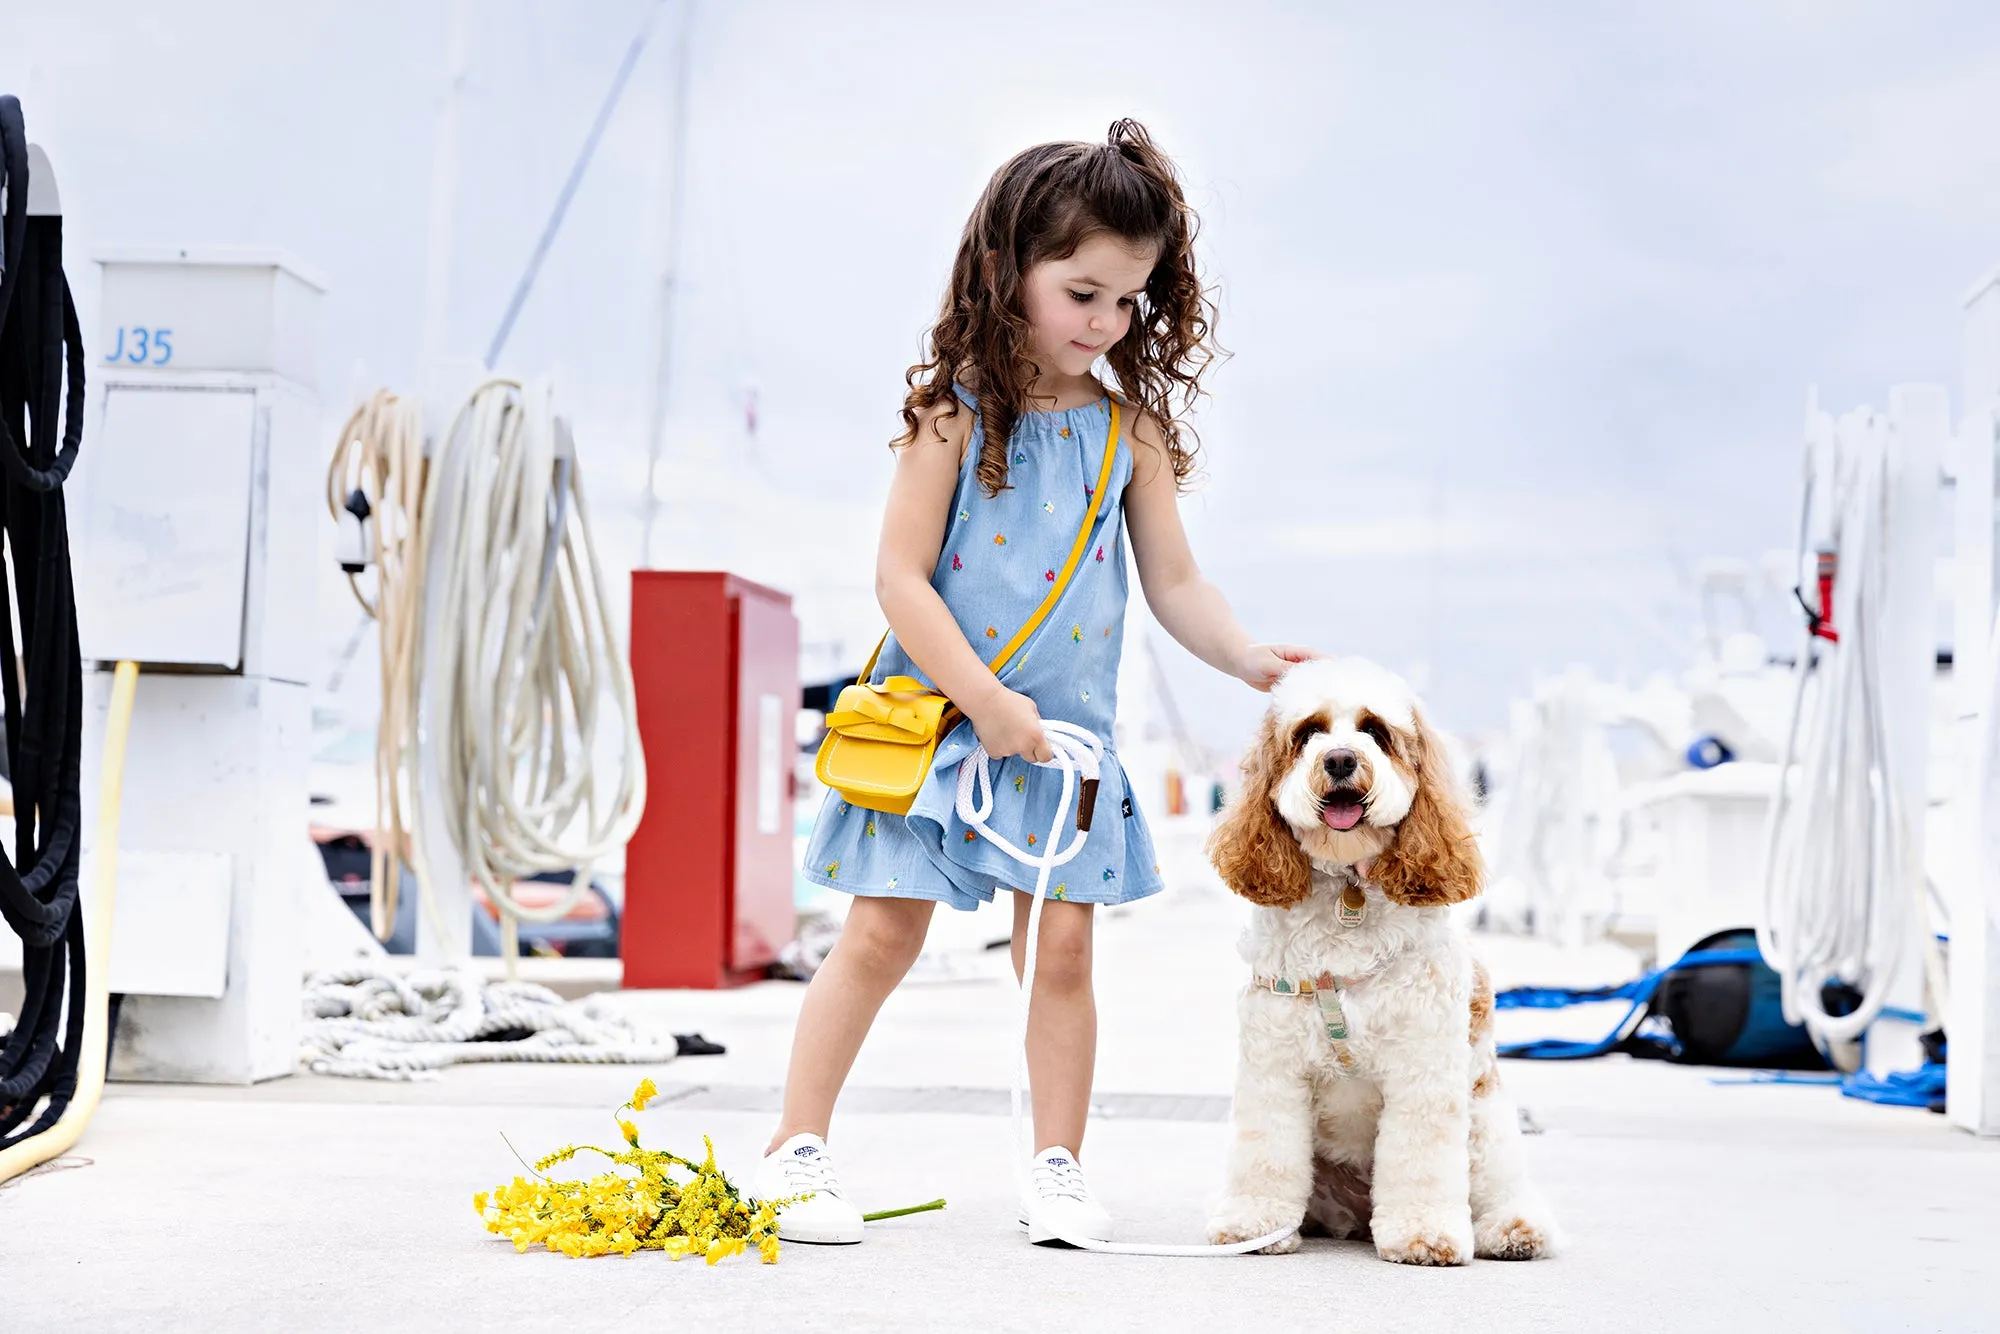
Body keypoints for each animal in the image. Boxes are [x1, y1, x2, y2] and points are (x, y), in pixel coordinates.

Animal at [1192, 664, 1552, 1272]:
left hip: (1485, 1119)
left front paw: (1423, 1234)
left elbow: (1421, 1160)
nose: (1340, 759)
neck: (1348, 886)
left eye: (1375, 731)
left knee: (1500, 1186)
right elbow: (1266, 1154)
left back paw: (1513, 1230)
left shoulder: (1423, 1066)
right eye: (1309, 733)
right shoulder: (1274, 1064)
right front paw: (1255, 1225)